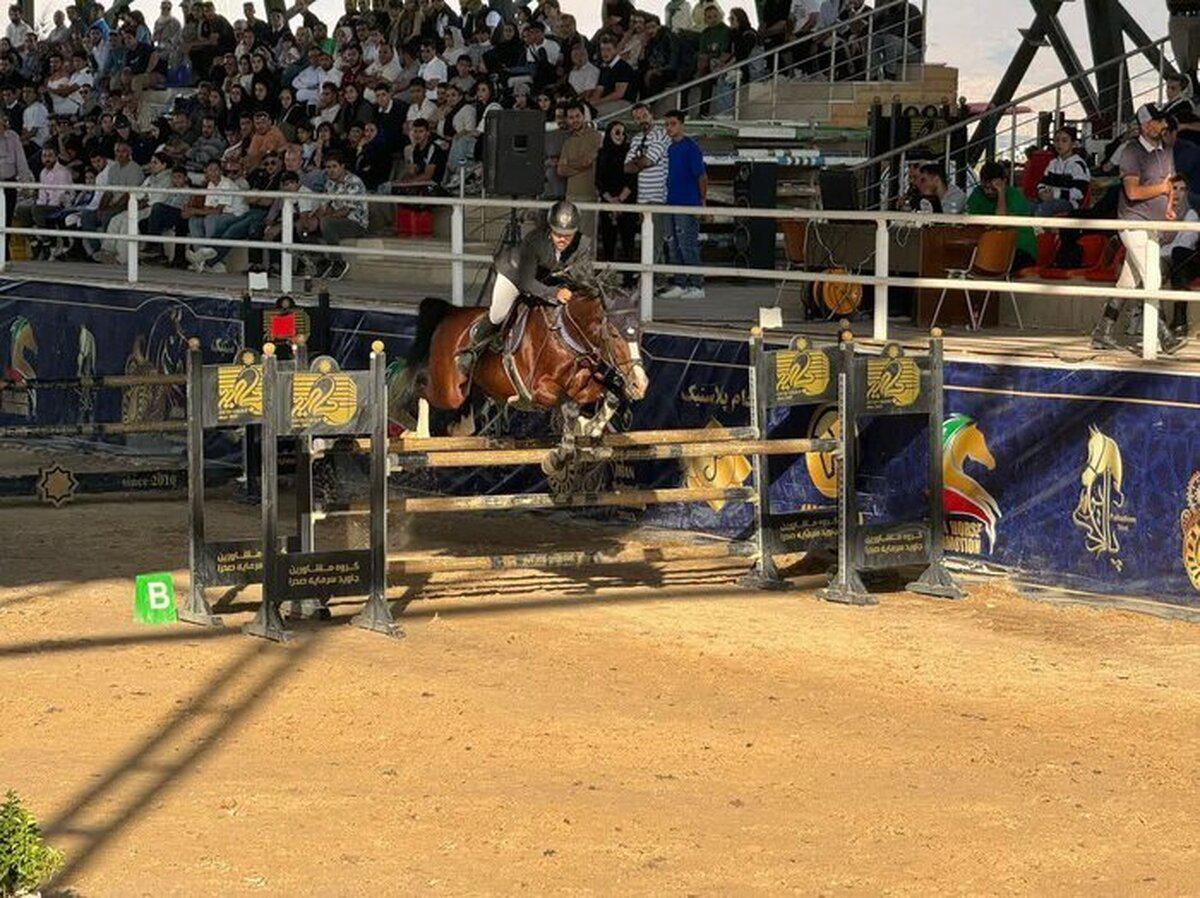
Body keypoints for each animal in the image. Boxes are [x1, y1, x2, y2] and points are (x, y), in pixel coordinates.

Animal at [393, 284, 648, 473]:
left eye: (641, 332)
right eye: (614, 334)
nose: (641, 384)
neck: (568, 338)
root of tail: (451, 312)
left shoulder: (586, 386)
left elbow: (611, 397)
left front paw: (592, 430)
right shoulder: (539, 390)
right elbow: (570, 407)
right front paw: (559, 455)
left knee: (462, 423)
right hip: (450, 390)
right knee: (423, 389)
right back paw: (409, 425)